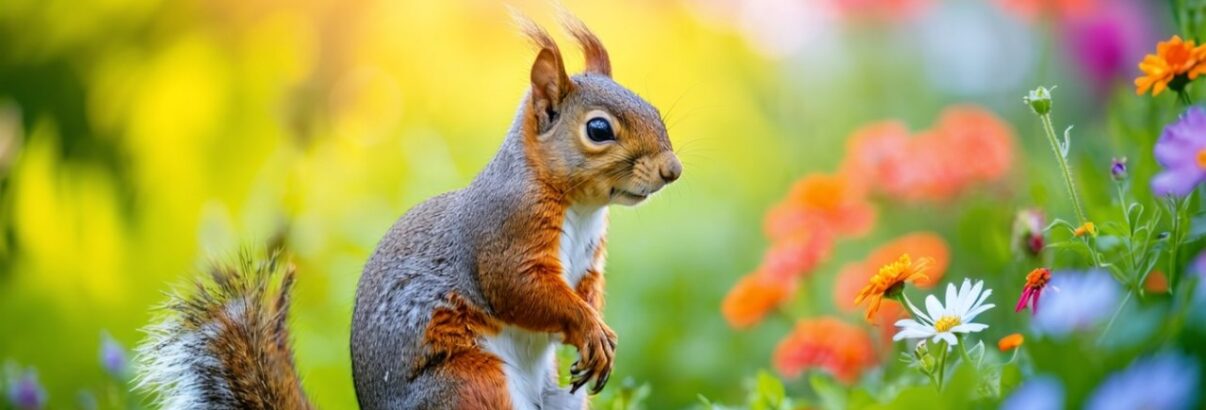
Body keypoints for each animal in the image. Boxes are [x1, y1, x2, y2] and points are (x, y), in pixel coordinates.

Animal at [133, 12, 681, 410]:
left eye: (654, 108)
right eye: (598, 129)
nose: (672, 170)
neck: (581, 207)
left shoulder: (588, 259)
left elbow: (586, 291)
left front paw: (597, 332)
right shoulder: (505, 233)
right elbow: (519, 289)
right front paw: (589, 329)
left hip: (558, 401)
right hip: (468, 381)